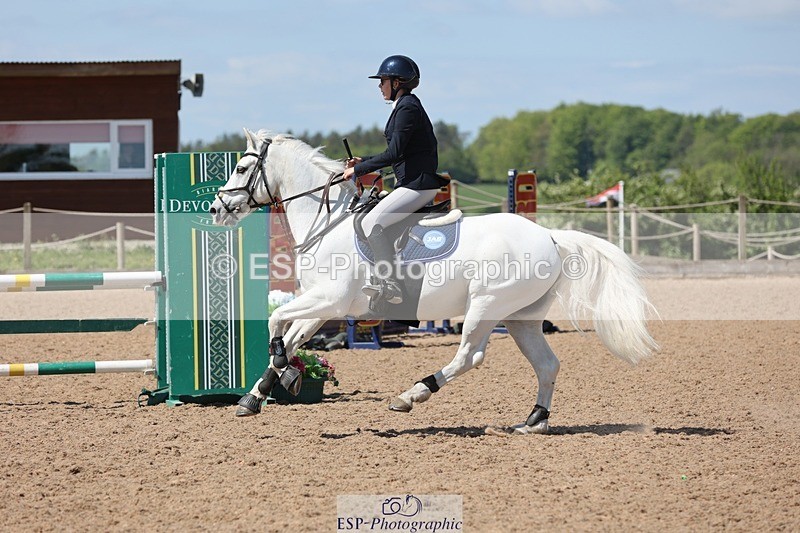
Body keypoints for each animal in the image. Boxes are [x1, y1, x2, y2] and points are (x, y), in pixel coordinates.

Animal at [209, 129, 657, 434]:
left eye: (242, 168)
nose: (216, 208)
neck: (328, 222)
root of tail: (549, 235)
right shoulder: (323, 304)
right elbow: (289, 336)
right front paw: (257, 395)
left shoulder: (330, 299)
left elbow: (277, 324)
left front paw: (286, 375)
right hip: (521, 318)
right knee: (546, 363)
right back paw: (534, 421)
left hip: (486, 307)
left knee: (470, 356)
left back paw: (412, 395)